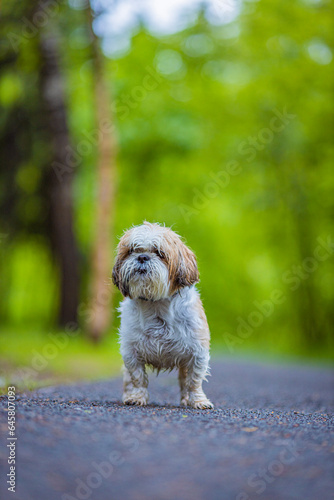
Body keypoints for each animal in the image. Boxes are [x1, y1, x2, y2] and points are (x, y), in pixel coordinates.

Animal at [111, 221, 213, 408]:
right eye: (132, 250)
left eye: (160, 253)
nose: (142, 257)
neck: (156, 303)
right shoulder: (131, 352)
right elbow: (138, 378)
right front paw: (137, 397)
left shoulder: (197, 352)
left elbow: (194, 381)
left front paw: (198, 400)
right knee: (128, 379)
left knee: (184, 380)